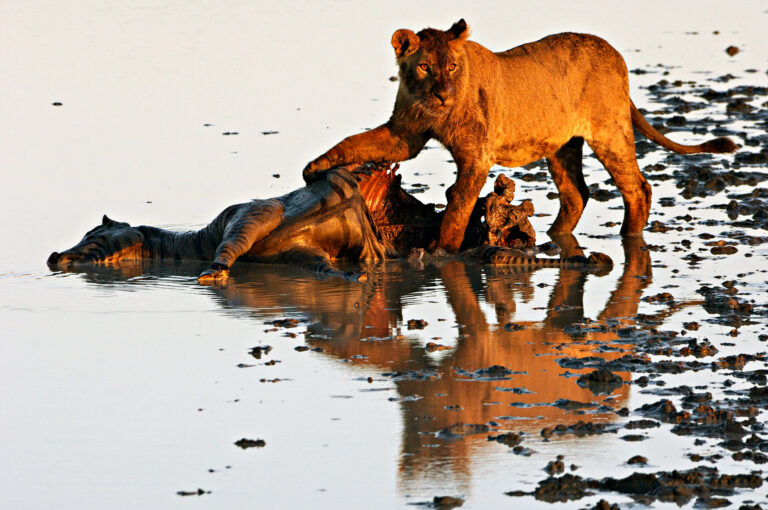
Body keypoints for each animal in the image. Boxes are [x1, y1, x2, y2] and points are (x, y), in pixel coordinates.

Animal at [302, 19, 736, 253]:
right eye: (424, 67)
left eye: (453, 66)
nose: (443, 94)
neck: (435, 109)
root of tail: (615, 55)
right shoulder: (403, 135)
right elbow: (353, 143)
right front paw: (314, 168)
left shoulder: (476, 156)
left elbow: (459, 205)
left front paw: (443, 249)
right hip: (562, 147)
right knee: (576, 194)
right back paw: (553, 235)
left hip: (609, 133)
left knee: (638, 187)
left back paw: (628, 236)